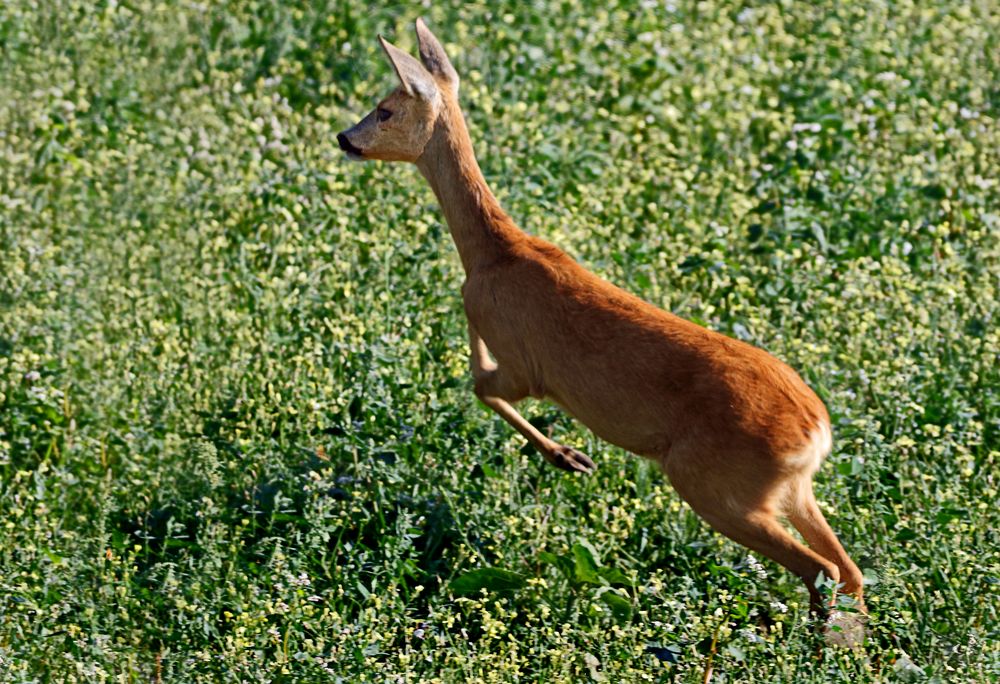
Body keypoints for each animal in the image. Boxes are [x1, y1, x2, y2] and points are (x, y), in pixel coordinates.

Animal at [338, 17, 868, 648]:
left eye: (385, 109)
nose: (344, 137)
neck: (493, 255)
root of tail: (816, 431)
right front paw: (569, 456)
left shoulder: (524, 362)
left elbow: (480, 381)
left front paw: (567, 456)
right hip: (792, 489)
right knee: (851, 571)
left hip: (717, 485)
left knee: (823, 569)